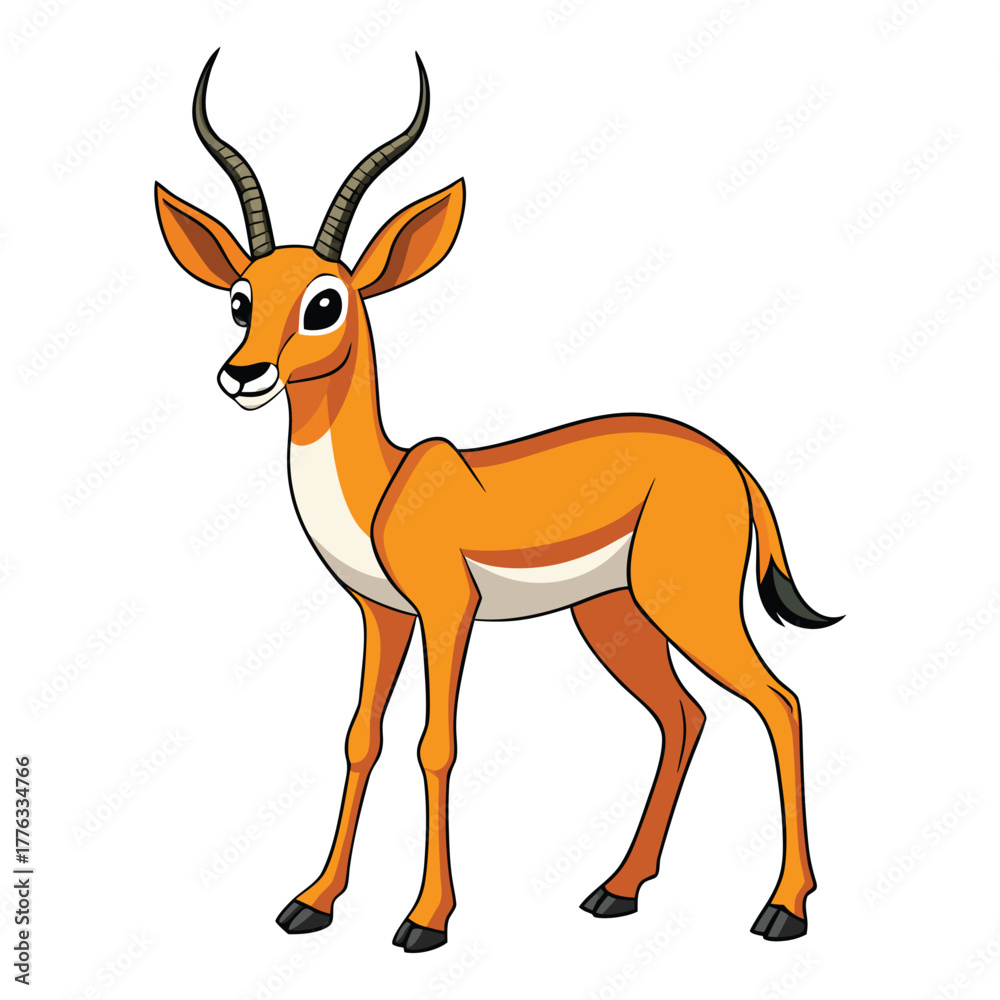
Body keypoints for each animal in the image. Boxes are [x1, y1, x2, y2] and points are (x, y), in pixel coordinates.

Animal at [154, 49, 841, 953]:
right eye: (239, 298)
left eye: (324, 301)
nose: (244, 375)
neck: (385, 485)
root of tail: (731, 464)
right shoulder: (383, 616)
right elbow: (362, 738)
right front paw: (312, 902)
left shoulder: (448, 610)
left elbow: (435, 744)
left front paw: (425, 919)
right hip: (614, 615)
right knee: (684, 716)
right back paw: (616, 890)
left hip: (688, 603)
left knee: (780, 702)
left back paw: (783, 910)